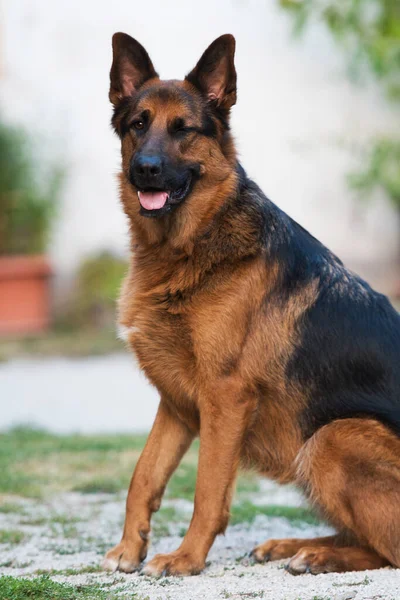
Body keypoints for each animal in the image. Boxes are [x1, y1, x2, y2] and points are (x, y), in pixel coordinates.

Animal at [103, 32, 400, 576]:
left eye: (183, 130)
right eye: (139, 125)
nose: (145, 170)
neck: (189, 244)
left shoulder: (225, 398)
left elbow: (207, 490)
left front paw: (185, 559)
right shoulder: (177, 404)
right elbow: (144, 476)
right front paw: (129, 549)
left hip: (331, 437)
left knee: (389, 550)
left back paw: (317, 556)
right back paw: (295, 547)